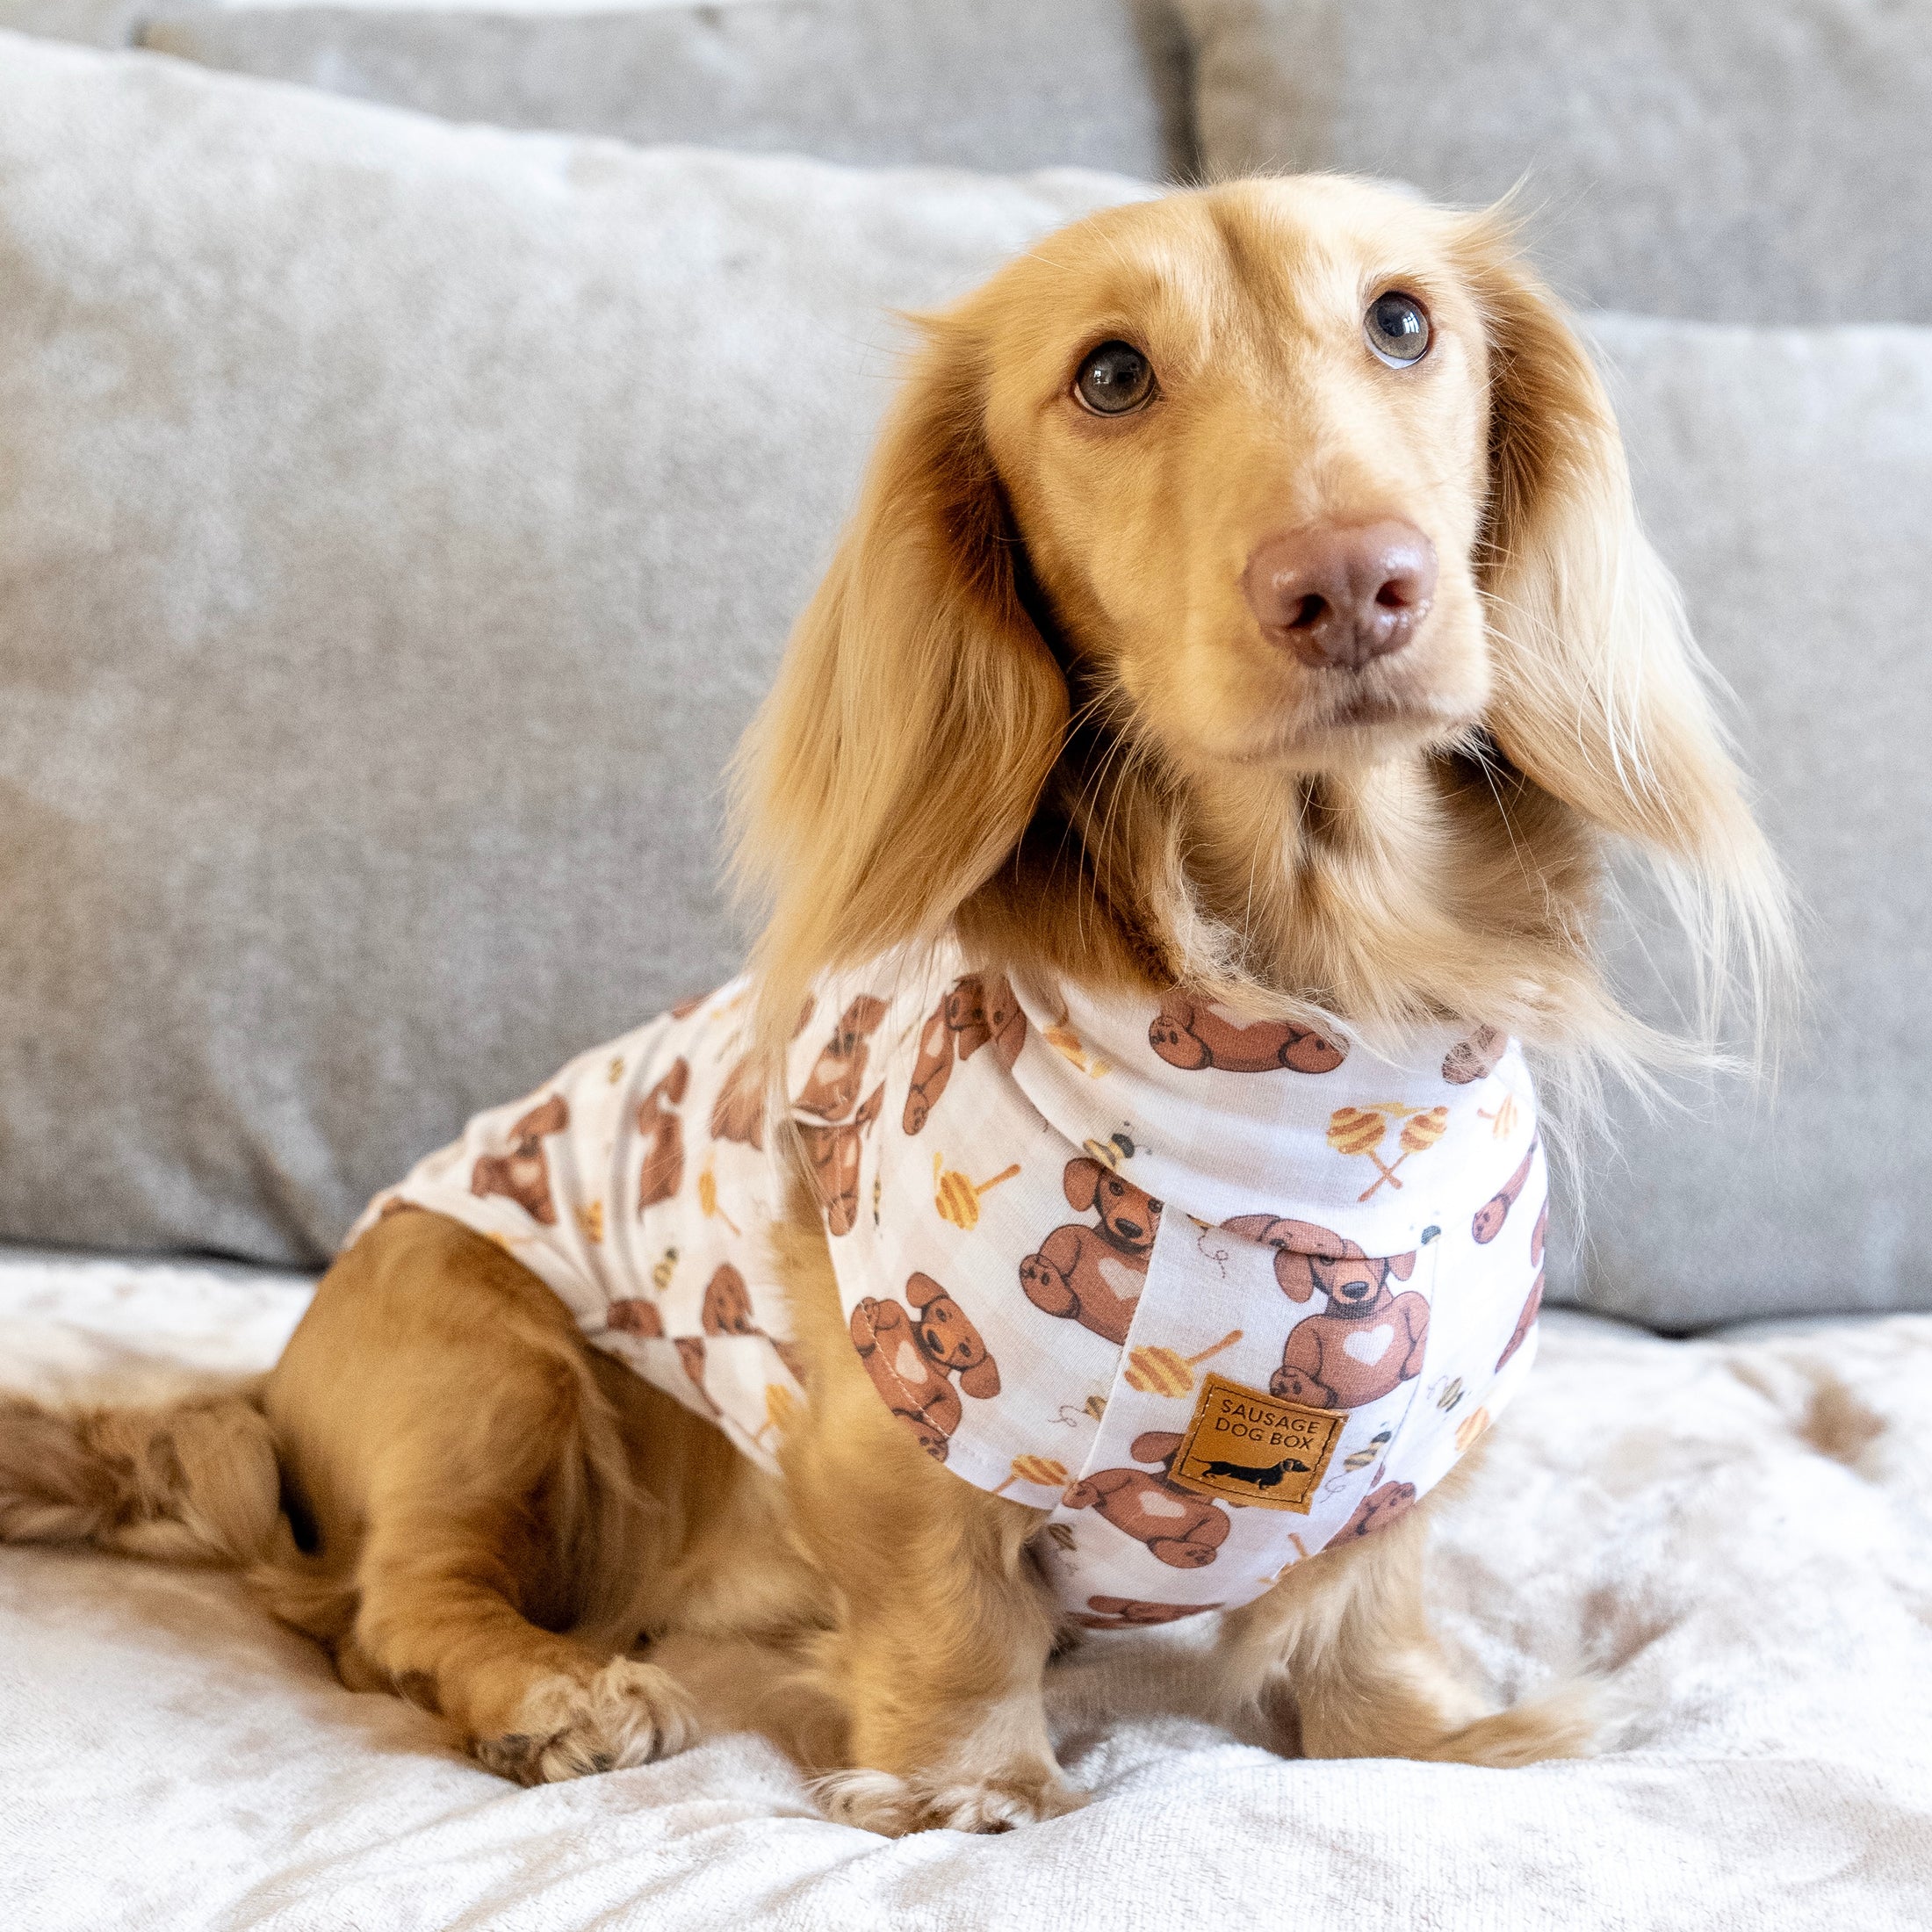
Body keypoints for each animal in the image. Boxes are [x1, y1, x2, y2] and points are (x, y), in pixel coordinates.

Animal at [849, 1271, 1001, 1461]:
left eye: (965, 1350)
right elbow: (884, 1317)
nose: (936, 1341)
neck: (923, 1353)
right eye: (941, 1314)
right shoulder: (894, 1315)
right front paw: (868, 1316)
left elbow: (944, 1413)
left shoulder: (947, 1393)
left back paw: (931, 1443)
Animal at [1019, 1156, 1164, 1346]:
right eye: (1115, 1188)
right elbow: (1063, 1238)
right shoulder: (1073, 1233)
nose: (1128, 1227)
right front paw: (1045, 1282)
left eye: (1157, 1205)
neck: (1123, 1248)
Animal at [1061, 1430, 1231, 1569]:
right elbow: (1109, 1477)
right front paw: (1082, 1492)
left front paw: (1190, 1552)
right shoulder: (1131, 1474)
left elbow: (1213, 1527)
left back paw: (1194, 1554)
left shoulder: (1217, 1515)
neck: (1176, 1492)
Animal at [1270, 1257, 1429, 1410]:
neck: (1361, 1316)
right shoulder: (1306, 1328)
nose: (1355, 1289)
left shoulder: (1409, 1300)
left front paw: (1414, 1362)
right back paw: (1291, 1386)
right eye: (1326, 1259)